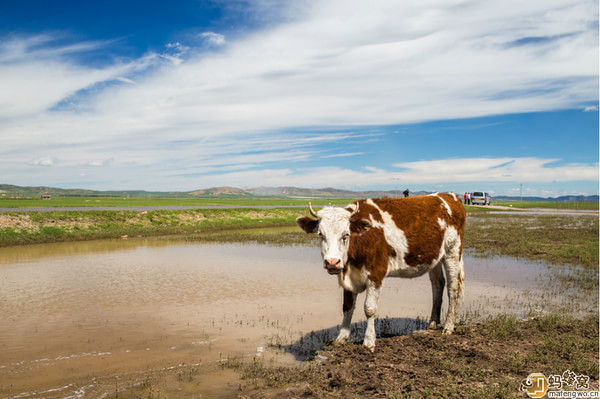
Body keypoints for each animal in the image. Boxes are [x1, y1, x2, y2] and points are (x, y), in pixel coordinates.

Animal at [298, 192, 466, 352]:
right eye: (321, 234)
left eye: (346, 234)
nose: (332, 262)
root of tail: (448, 196)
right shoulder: (348, 277)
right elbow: (347, 307)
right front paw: (341, 338)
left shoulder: (376, 273)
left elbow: (370, 308)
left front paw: (369, 342)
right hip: (434, 258)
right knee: (438, 285)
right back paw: (433, 323)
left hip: (452, 251)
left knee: (453, 288)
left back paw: (448, 326)